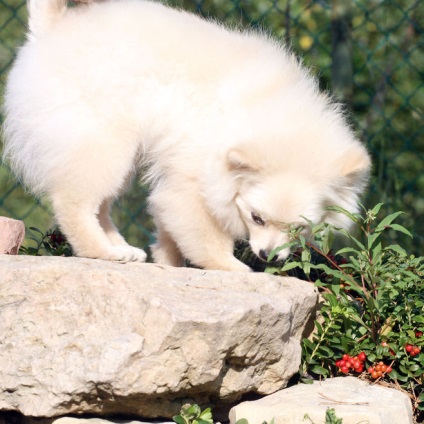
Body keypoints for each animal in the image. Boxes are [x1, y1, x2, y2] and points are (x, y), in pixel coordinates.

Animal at [2, 0, 372, 272]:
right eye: (257, 218)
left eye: (298, 228)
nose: (268, 256)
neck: (264, 110)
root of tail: (53, 29)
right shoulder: (195, 179)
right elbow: (203, 234)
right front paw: (231, 267)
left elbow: (170, 230)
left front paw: (168, 263)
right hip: (103, 144)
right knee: (74, 203)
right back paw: (102, 251)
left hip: (117, 155)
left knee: (100, 206)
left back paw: (122, 249)